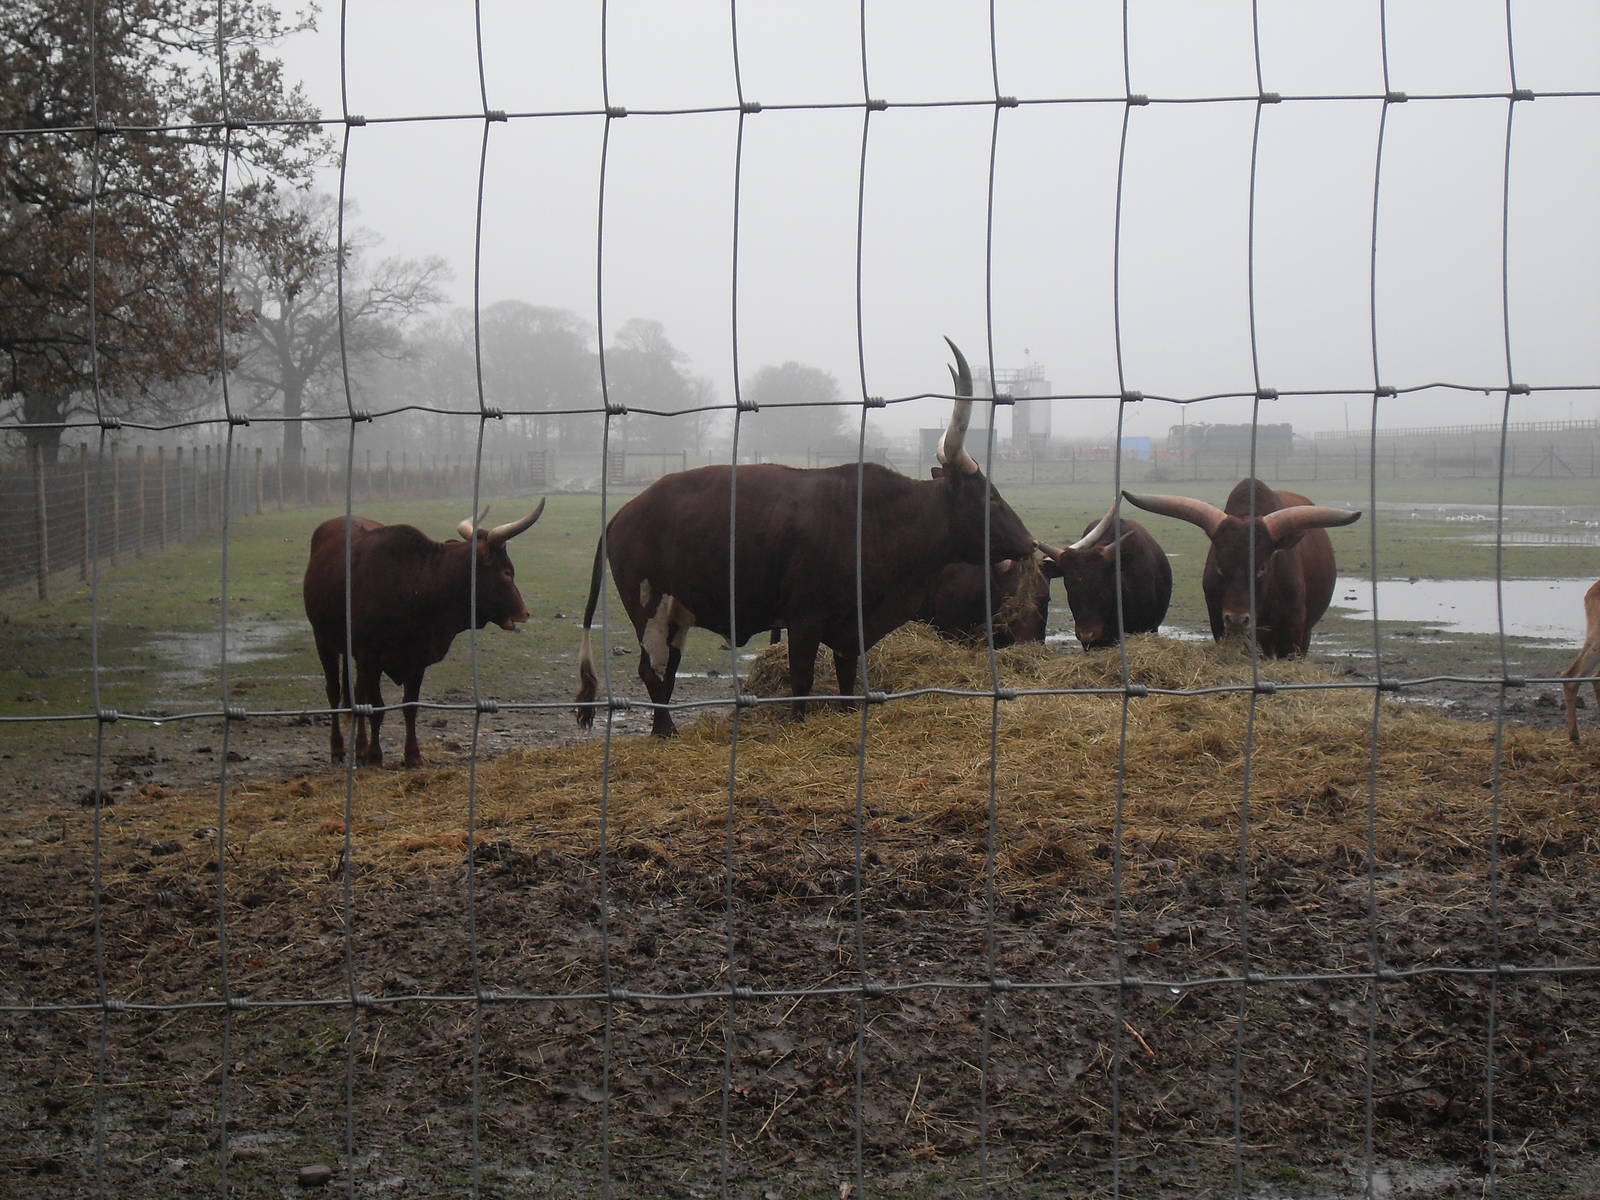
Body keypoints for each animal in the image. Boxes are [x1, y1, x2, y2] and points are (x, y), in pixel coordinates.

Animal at [303, 503, 545, 767]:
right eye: (507, 572)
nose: (524, 613)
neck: (417, 583)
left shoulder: (417, 657)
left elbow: (410, 707)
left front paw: (412, 755)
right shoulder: (370, 656)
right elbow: (377, 708)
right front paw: (376, 755)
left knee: (357, 693)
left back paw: (361, 749)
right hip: (323, 640)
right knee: (334, 691)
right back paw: (338, 749)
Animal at [573, 338, 1036, 737]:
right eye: (990, 498)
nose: (1030, 544)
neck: (880, 518)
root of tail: (623, 514)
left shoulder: (852, 625)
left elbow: (847, 678)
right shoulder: (804, 618)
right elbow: (801, 679)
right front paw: (798, 723)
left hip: (678, 613)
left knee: (667, 671)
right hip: (649, 607)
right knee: (653, 671)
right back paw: (665, 731)